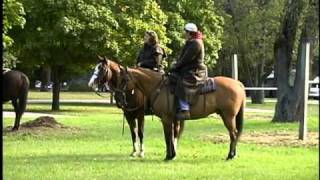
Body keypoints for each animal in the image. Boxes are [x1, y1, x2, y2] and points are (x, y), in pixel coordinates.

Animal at [89, 57, 246, 160]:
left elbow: (162, 136)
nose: (119, 95)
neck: (156, 87)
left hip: (228, 116)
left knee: (233, 134)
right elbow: (140, 134)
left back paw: (230, 155)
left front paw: (165, 155)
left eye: (101, 69)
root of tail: (238, 84)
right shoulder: (132, 115)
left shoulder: (157, 117)